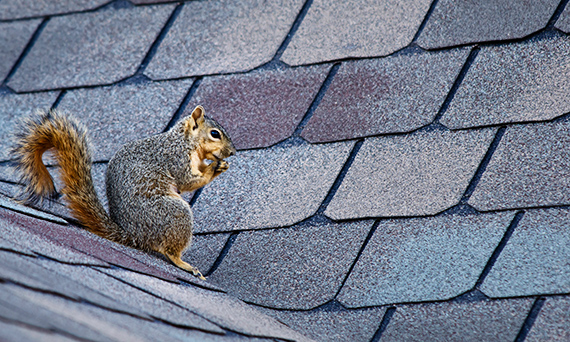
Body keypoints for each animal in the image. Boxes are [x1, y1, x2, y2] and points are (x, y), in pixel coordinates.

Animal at [13, 105, 235, 280]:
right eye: (215, 134)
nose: (232, 152)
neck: (185, 141)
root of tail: (134, 235)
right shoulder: (176, 158)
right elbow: (188, 180)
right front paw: (213, 168)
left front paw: (220, 165)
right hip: (174, 213)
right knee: (169, 250)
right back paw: (184, 264)